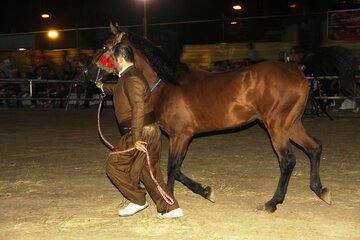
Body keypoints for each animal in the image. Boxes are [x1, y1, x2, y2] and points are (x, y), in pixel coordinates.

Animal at [84, 23, 332, 213]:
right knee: (314, 147)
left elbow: (174, 168)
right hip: (292, 124)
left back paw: (272, 202)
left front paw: (190, 195)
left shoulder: (181, 136)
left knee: (287, 160)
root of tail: (297, 72)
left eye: (104, 46)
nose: (87, 73)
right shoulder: (176, 137)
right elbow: (172, 169)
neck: (167, 85)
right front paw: (180, 197)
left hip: (277, 127)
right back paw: (320, 190)